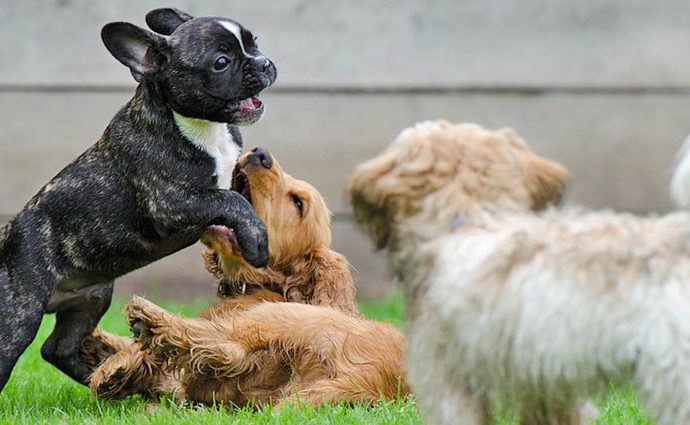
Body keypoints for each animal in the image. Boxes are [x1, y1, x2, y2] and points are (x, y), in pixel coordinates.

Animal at [80, 147, 406, 406]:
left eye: (298, 203)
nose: (260, 154)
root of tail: (371, 381)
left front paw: (115, 364)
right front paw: (99, 344)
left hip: (282, 318)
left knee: (225, 346)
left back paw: (148, 319)